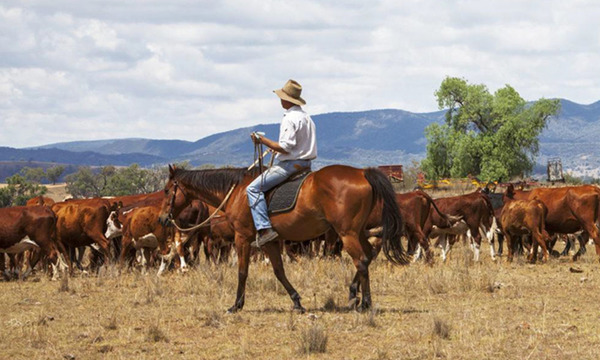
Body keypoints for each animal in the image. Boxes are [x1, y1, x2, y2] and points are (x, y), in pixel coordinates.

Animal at [158, 165, 408, 314]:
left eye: (167, 190)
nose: (162, 218)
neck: (237, 192)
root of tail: (362, 172)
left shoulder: (242, 238)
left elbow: (242, 272)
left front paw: (236, 305)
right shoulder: (269, 241)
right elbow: (279, 271)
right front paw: (297, 302)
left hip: (347, 234)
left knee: (362, 261)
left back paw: (365, 302)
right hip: (358, 232)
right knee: (369, 255)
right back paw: (354, 294)